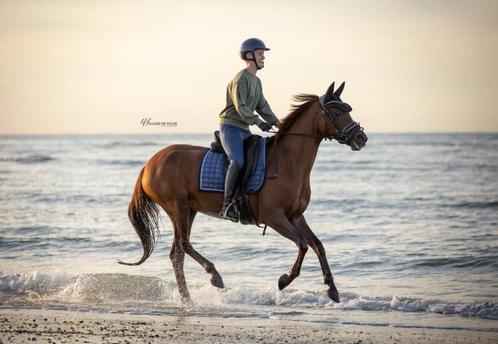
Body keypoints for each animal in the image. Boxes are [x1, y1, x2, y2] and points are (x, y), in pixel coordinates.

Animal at [119, 81, 370, 304]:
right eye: (336, 111)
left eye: (348, 109)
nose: (361, 138)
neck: (287, 162)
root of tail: (149, 164)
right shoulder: (275, 217)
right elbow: (302, 244)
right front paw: (284, 280)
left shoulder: (295, 216)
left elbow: (318, 245)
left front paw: (332, 289)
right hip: (177, 207)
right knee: (184, 245)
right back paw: (214, 276)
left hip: (189, 210)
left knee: (177, 254)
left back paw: (187, 299)